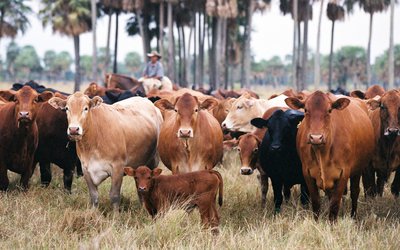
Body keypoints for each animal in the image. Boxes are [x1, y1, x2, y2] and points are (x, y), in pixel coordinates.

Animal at [288, 92, 376, 221]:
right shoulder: (307, 173)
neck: (322, 152)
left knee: (354, 192)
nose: (316, 137)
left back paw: (353, 216)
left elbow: (334, 204)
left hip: (358, 170)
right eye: (305, 110)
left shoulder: (343, 173)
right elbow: (316, 203)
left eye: (329, 110)